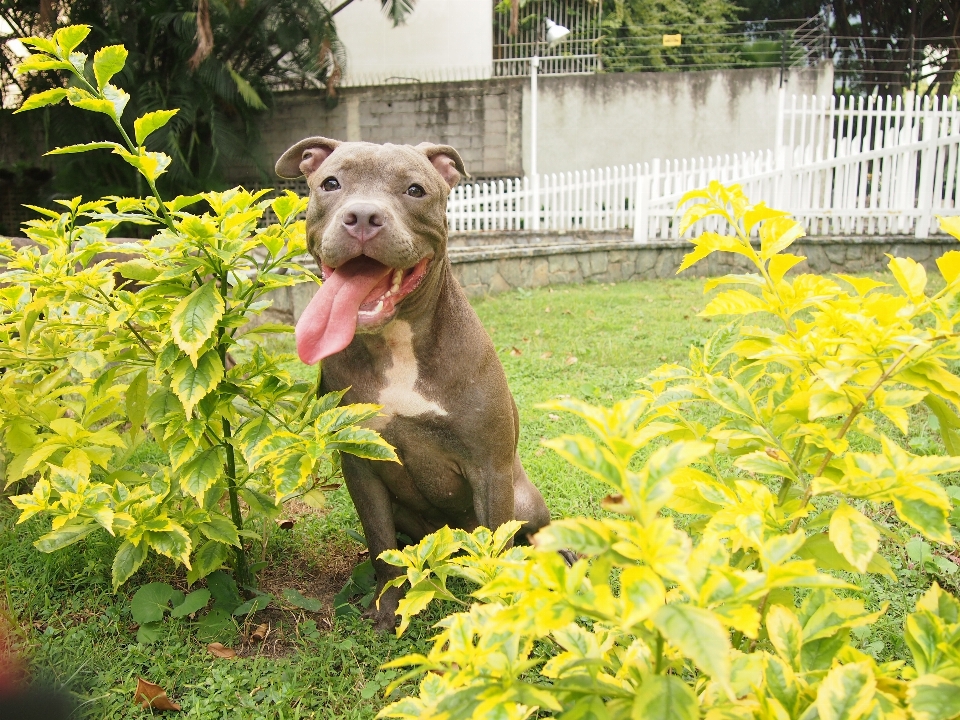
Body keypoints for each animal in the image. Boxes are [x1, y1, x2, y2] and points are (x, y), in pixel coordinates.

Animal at [274, 136, 552, 632]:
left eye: (415, 190)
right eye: (331, 183)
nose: (363, 217)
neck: (395, 344)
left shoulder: (489, 467)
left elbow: (494, 551)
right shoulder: (361, 467)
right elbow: (380, 544)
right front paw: (388, 607)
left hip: (522, 498)